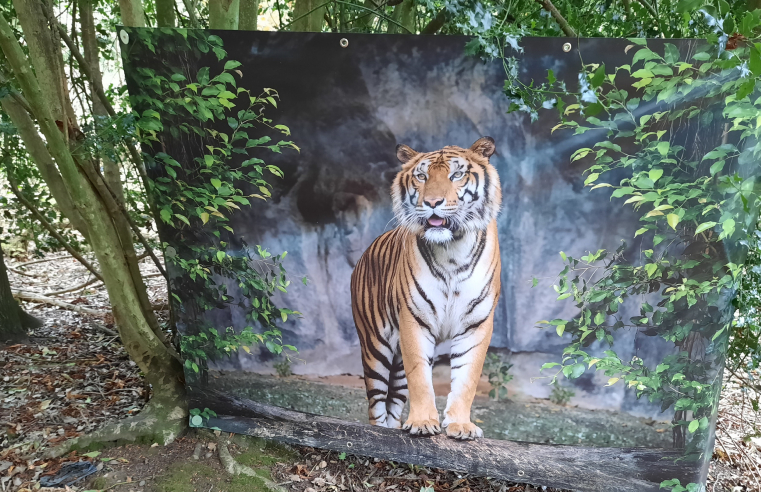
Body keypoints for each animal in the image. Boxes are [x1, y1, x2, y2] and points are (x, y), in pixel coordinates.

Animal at [348, 136, 502, 440]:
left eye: (456, 175)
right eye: (422, 176)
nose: (432, 202)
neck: (453, 249)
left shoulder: (476, 323)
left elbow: (466, 379)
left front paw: (460, 426)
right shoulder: (414, 319)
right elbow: (420, 376)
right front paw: (421, 423)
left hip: (395, 364)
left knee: (394, 403)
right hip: (375, 347)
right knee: (376, 405)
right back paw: (380, 433)